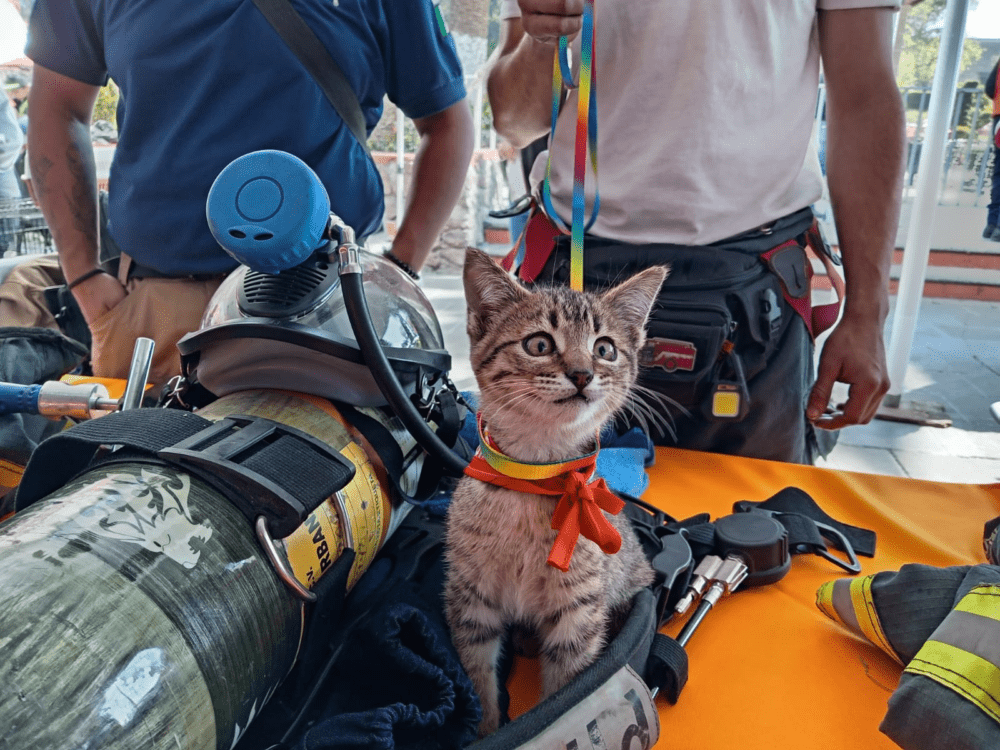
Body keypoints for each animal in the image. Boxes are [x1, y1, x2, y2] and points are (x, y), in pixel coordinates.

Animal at [444, 247, 668, 736]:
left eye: (604, 349)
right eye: (539, 344)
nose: (582, 374)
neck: (535, 475)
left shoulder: (578, 611)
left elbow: (567, 698)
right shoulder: (471, 598)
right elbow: (477, 674)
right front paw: (487, 725)